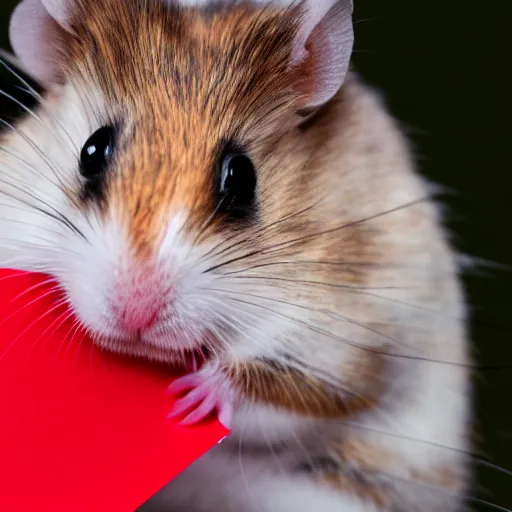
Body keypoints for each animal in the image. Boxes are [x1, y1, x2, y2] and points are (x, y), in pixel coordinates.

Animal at [1, 1, 472, 512]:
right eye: (92, 151)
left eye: (241, 177)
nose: (135, 317)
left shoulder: (343, 340)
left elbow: (275, 392)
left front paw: (192, 396)